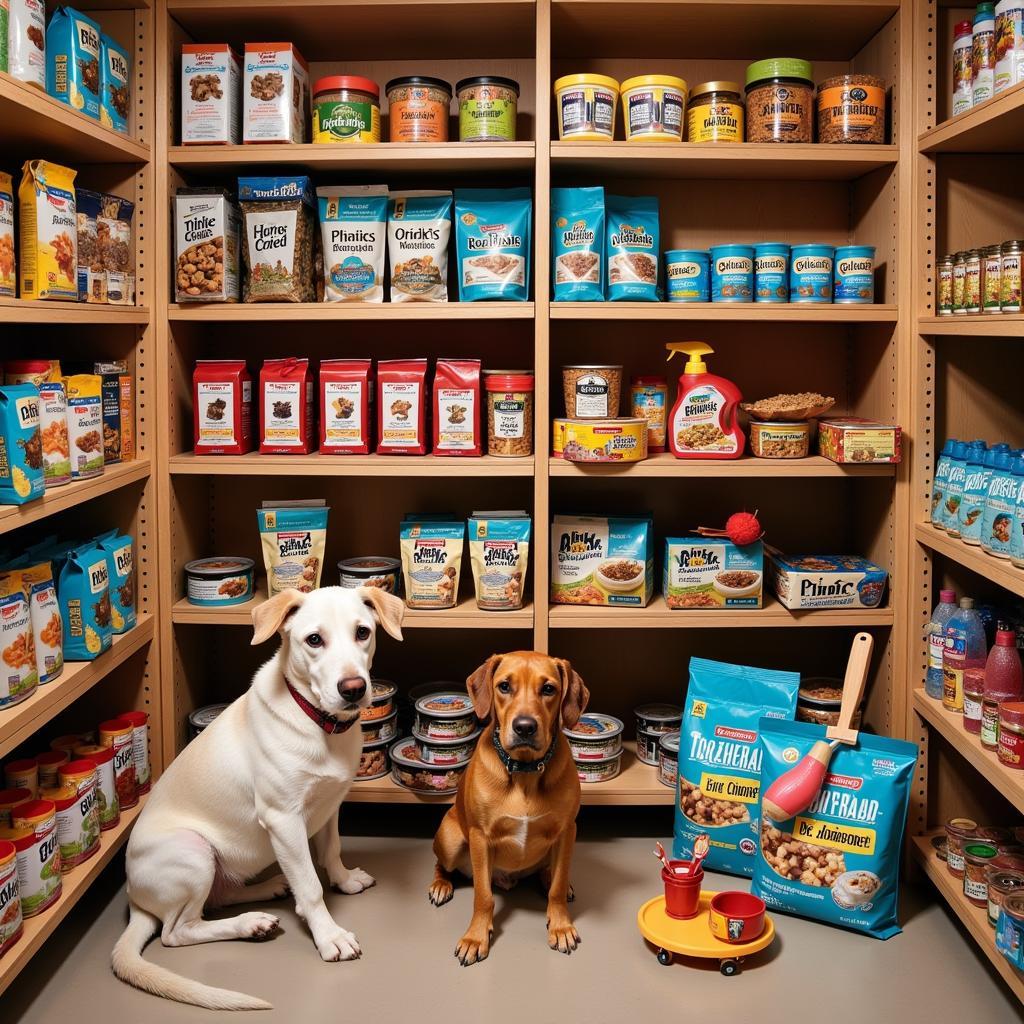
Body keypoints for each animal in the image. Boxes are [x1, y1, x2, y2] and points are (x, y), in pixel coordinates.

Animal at [111, 585, 399, 1007]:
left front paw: (344, 880)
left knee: (217, 899)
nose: (354, 689)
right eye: (314, 640)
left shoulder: (330, 804)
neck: (319, 724)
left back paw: (268, 891)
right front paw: (329, 935)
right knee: (177, 932)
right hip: (192, 850)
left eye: (362, 632)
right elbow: (310, 886)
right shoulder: (284, 820)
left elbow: (331, 850)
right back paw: (250, 923)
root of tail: (134, 897)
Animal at [425, 651, 589, 962]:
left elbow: (558, 886)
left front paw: (560, 925)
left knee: (551, 874)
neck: (525, 770)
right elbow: (483, 896)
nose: (524, 727)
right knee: (441, 863)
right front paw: (476, 937)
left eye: (548, 689)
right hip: (451, 840)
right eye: (504, 686)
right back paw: (441, 884)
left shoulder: (567, 832)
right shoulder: (480, 837)